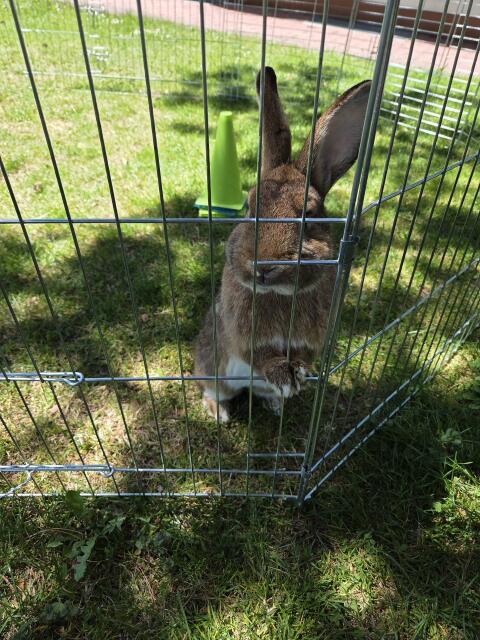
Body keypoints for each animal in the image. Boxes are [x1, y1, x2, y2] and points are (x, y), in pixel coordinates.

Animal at [195, 67, 371, 422]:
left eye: (310, 214)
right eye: (249, 207)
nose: (264, 267)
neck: (280, 293)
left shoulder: (312, 339)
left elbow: (303, 356)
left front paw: (296, 375)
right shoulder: (244, 336)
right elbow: (260, 355)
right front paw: (283, 374)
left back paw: (276, 404)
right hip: (213, 369)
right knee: (215, 390)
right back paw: (219, 412)